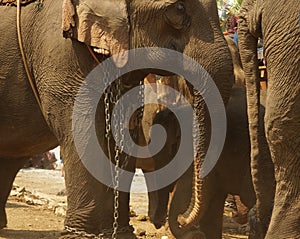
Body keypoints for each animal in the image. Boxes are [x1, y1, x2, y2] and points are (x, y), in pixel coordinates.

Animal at [0, 0, 233, 238]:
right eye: (178, 9)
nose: (182, 220)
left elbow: (123, 135)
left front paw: (120, 233)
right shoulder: (62, 54)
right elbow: (83, 131)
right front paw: (80, 235)